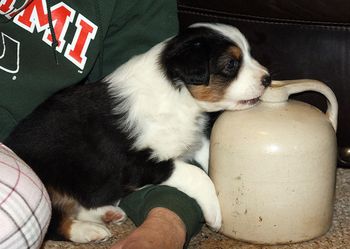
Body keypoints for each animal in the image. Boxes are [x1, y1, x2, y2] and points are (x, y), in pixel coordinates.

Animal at [4, 22, 270, 241]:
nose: (268, 78)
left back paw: (107, 214)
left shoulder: (191, 138)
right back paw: (89, 231)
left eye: (249, 55)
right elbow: (196, 175)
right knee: (54, 223)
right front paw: (214, 213)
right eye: (231, 64)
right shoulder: (136, 164)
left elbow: (208, 154)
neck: (180, 96)